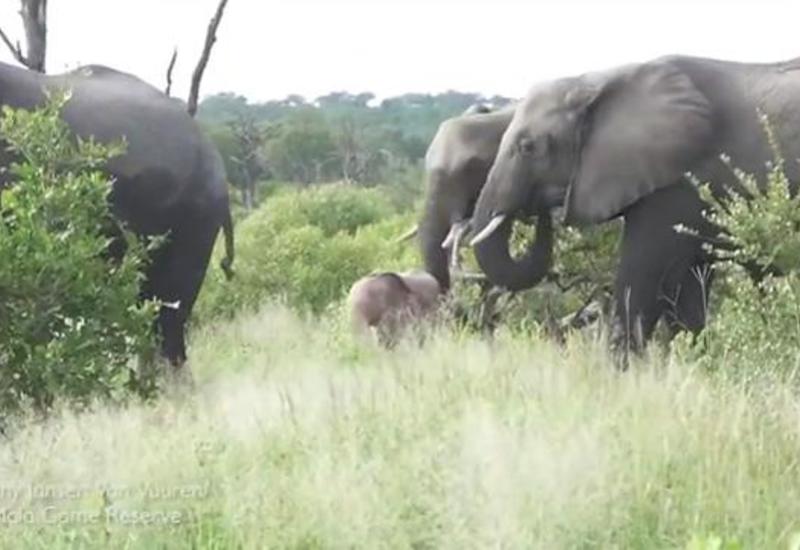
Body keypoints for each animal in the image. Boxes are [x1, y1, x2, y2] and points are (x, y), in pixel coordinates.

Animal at [468, 55, 800, 354]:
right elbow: (686, 292)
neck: (596, 81)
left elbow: (643, 282)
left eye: (528, 147)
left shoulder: (675, 185)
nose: (541, 209)